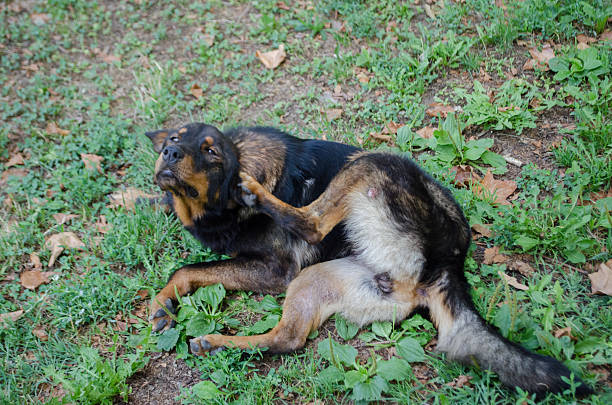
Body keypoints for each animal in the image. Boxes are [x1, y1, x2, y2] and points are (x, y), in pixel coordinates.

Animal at [146, 121, 592, 396]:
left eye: (211, 152)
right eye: (178, 138)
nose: (168, 151)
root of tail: (449, 266)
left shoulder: (276, 271)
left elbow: (190, 267)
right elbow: (186, 268)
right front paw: (163, 302)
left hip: (374, 163)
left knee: (312, 222)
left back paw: (255, 193)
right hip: (317, 280)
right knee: (287, 338)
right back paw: (220, 344)